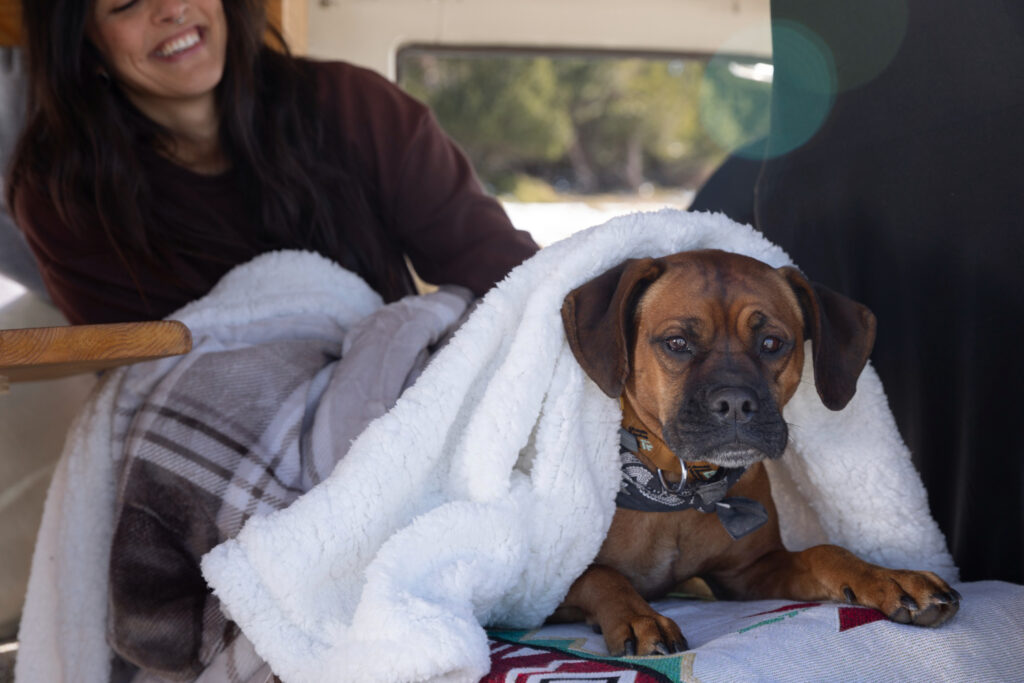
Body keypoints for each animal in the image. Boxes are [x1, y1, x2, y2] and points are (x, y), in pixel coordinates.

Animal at [552, 249, 958, 655]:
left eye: (772, 343)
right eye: (677, 343)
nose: (735, 402)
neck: (683, 491)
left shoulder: (749, 572)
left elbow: (824, 552)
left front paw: (889, 577)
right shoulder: (545, 593)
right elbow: (599, 575)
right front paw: (639, 618)